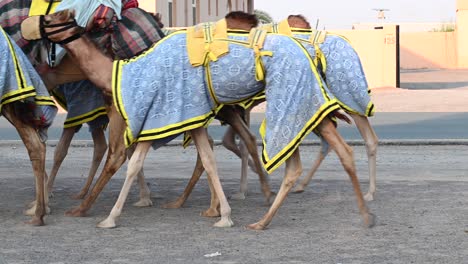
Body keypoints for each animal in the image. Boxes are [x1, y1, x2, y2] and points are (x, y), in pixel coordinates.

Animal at [23, 10, 376, 229]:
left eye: (53, 17)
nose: (29, 24)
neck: (121, 72)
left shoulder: (159, 112)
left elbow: (128, 161)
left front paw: (102, 215)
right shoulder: (183, 117)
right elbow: (207, 159)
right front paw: (222, 213)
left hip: (297, 98)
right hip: (303, 102)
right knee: (335, 148)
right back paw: (359, 213)